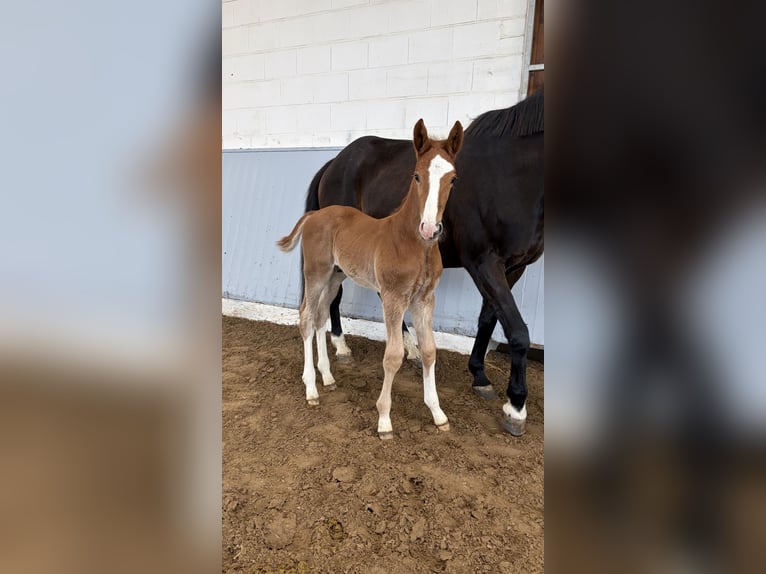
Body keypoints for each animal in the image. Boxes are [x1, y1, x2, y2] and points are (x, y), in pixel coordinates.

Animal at [278, 119, 464, 439]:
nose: (429, 228)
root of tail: (315, 214)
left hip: (335, 276)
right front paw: (384, 420)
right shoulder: (393, 297)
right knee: (305, 318)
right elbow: (393, 356)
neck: (413, 244)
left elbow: (429, 351)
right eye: (416, 175)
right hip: (316, 273)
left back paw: (328, 377)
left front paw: (438, 414)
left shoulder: (424, 299)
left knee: (320, 316)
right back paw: (311, 388)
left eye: (452, 179)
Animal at [303, 90, 543, 436]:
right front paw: (516, 407)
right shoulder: (484, 263)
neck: (512, 176)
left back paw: (411, 348)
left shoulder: (514, 267)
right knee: (334, 300)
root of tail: (334, 163)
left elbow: (489, 319)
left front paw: (480, 376)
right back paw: (342, 347)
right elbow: (518, 331)